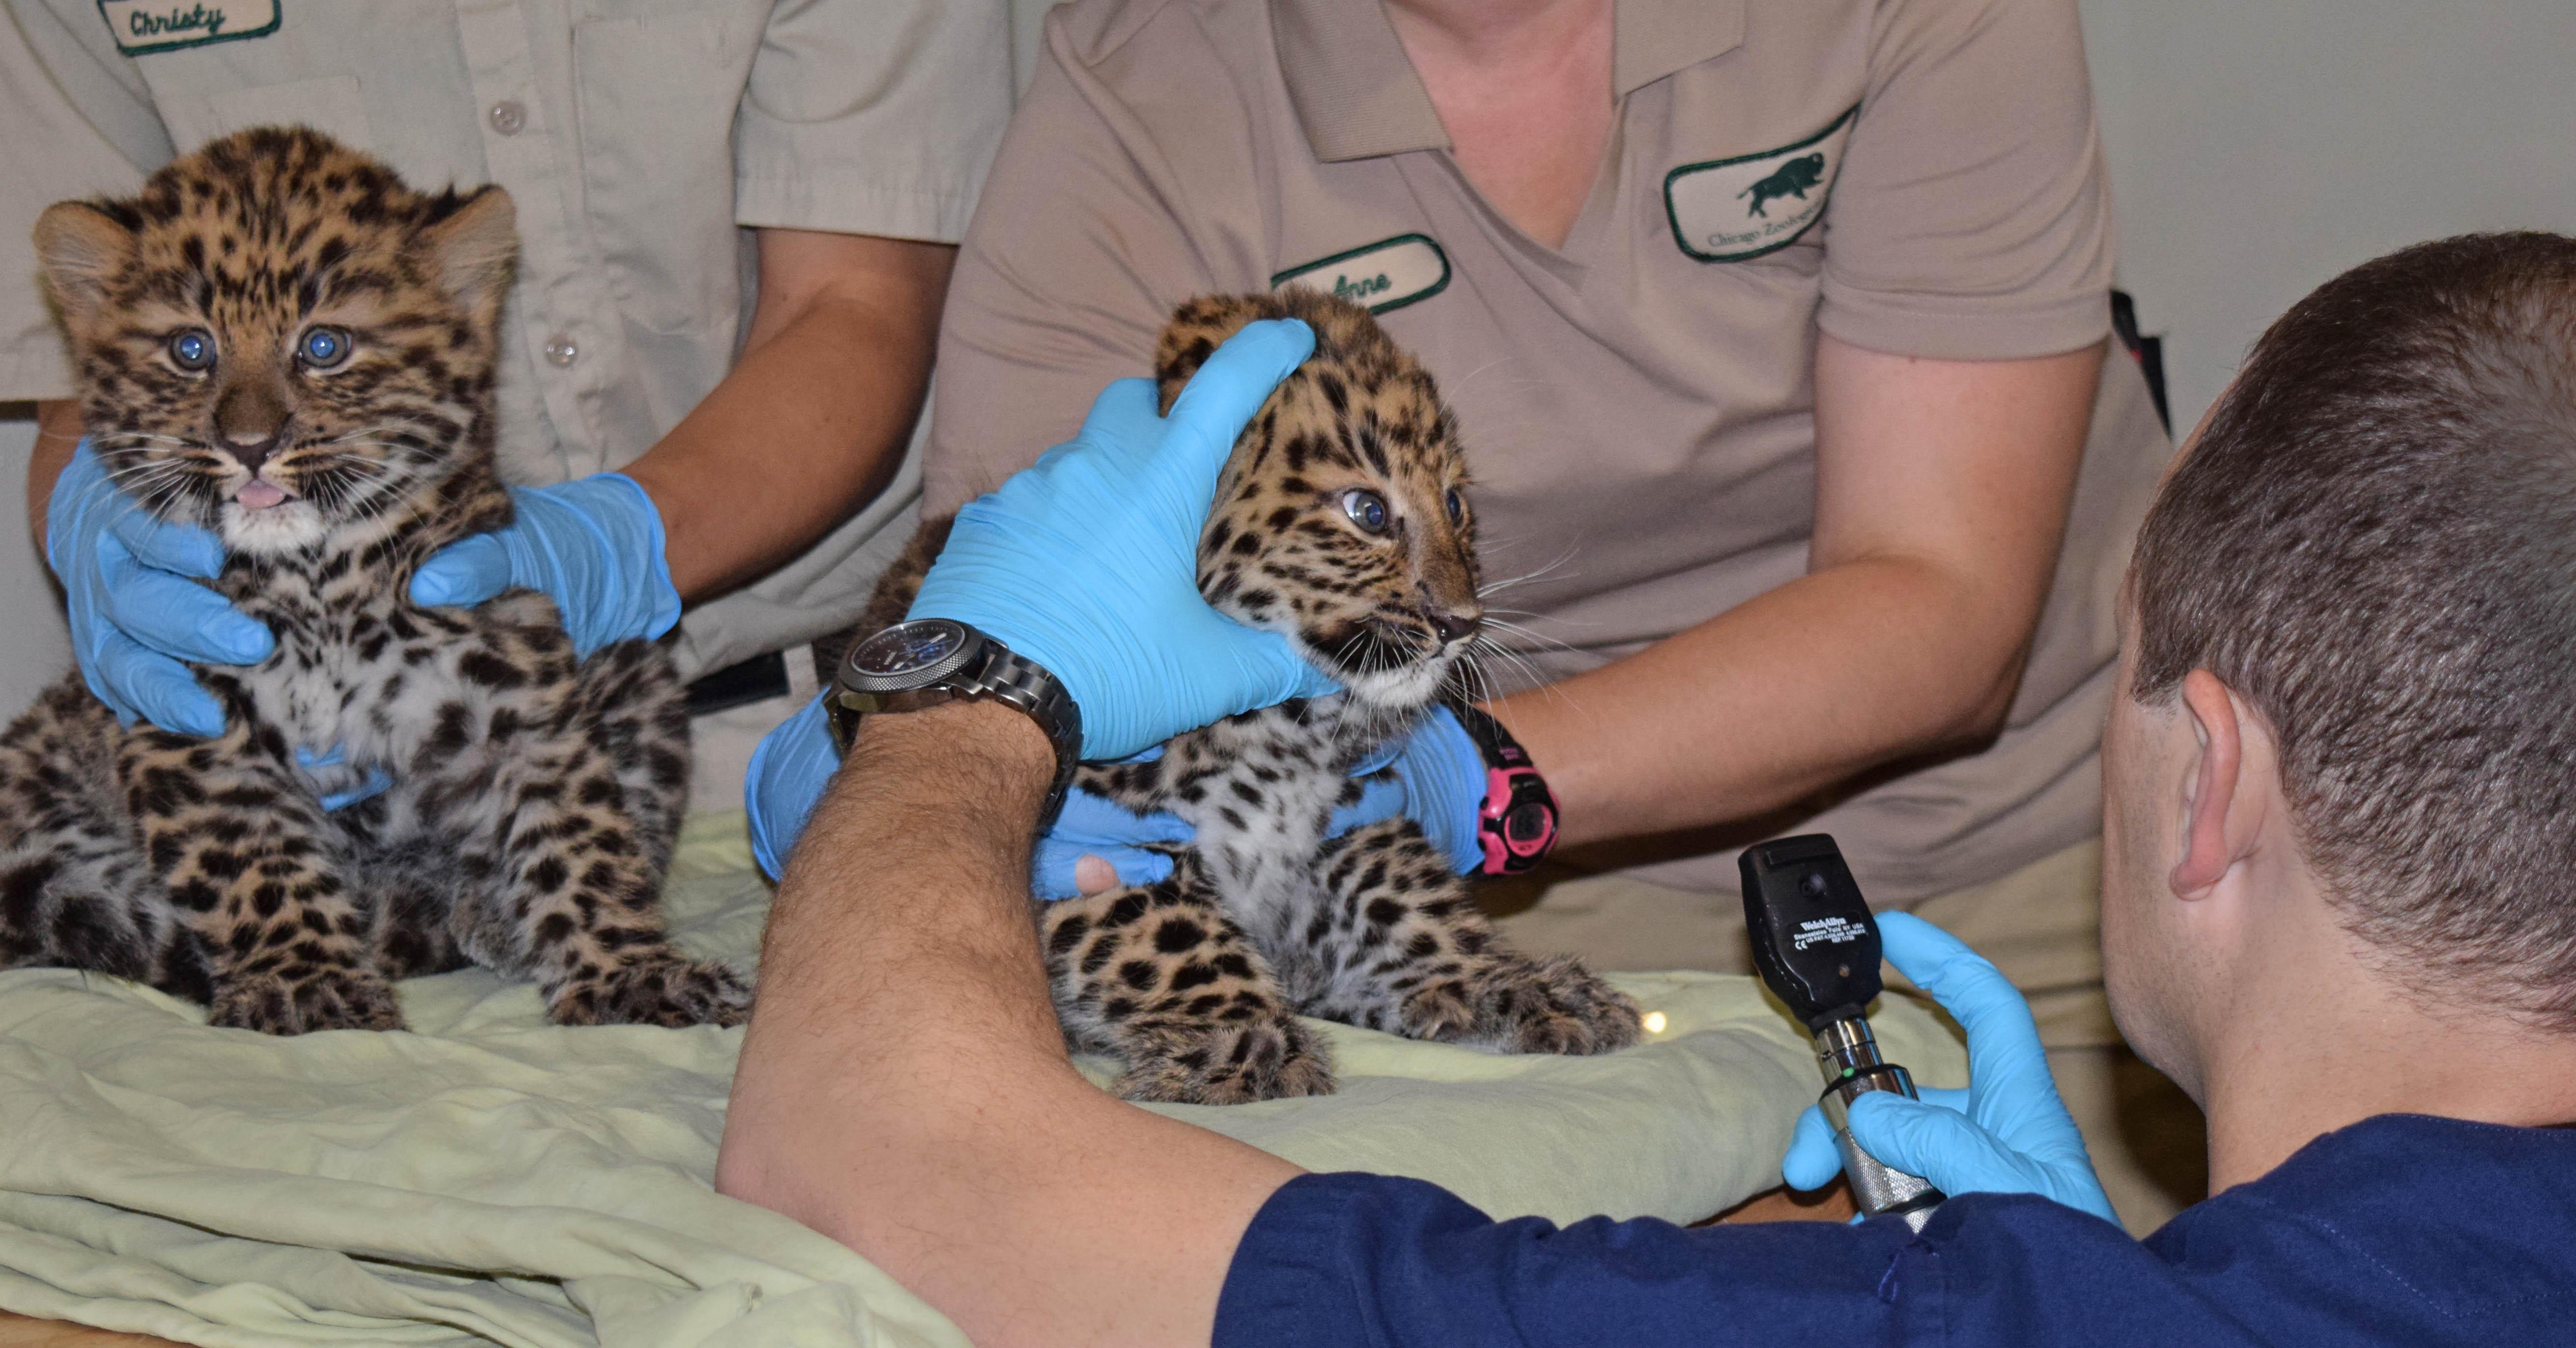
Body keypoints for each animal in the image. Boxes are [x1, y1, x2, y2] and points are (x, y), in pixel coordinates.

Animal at [0, 126, 745, 1035]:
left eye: (324, 347)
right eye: (190, 350)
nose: (250, 444)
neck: (318, 585)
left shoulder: (515, 691)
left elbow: (578, 839)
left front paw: (628, 972)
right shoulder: (190, 725)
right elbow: (254, 864)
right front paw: (303, 981)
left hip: (631, 659)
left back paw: (484, 911)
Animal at [844, 289, 1639, 1103]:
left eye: (1453, 503)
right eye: (1367, 512)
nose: (1461, 624)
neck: (1282, 732)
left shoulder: (1354, 816)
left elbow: (1403, 897)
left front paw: (1502, 982)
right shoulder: (1096, 844)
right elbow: (1163, 931)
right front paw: (1244, 1041)